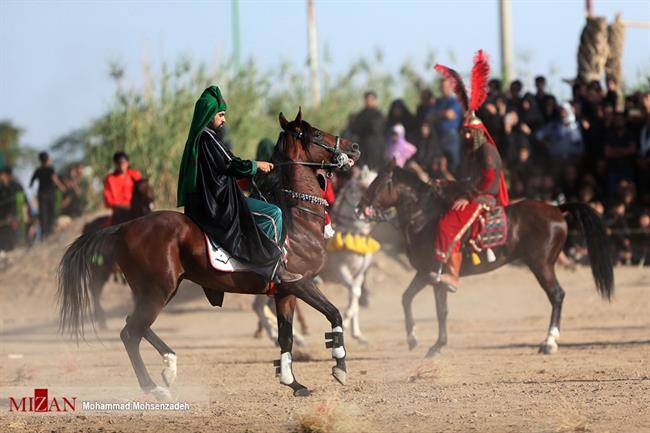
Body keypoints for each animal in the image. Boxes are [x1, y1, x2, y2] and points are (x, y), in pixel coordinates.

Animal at [81, 177, 154, 330]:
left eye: (150, 187)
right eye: (139, 190)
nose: (151, 202)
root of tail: (88, 226)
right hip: (100, 269)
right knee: (95, 289)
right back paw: (101, 321)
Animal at [354, 160, 612, 356]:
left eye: (377, 183)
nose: (359, 208)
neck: (424, 218)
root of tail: (557, 209)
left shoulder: (436, 274)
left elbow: (440, 310)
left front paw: (437, 346)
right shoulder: (425, 273)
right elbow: (407, 298)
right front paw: (412, 339)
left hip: (541, 265)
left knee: (556, 295)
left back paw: (549, 342)